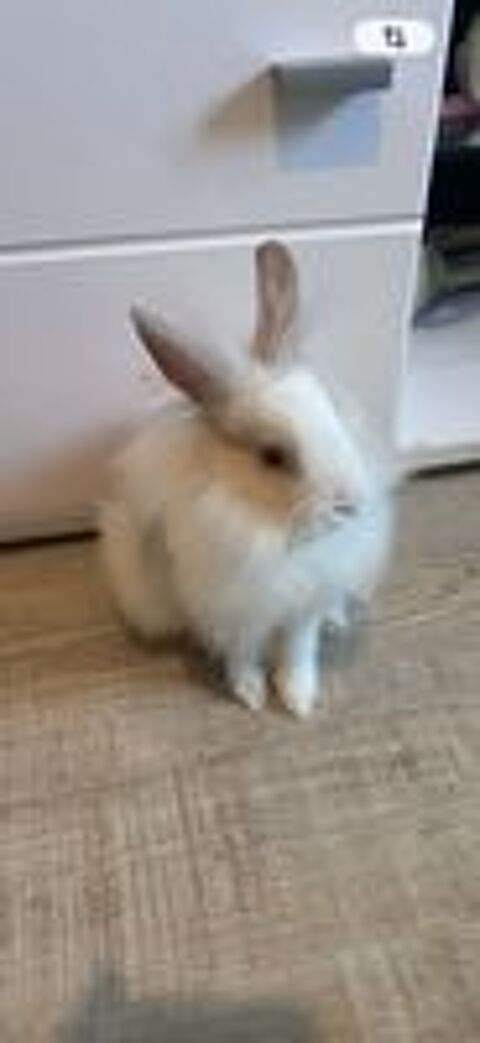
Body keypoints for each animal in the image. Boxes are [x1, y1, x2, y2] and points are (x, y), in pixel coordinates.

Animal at [99, 241, 394, 717]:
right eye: (272, 456)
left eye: (333, 414)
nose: (350, 504)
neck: (273, 533)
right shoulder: (234, 608)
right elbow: (242, 653)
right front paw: (251, 694)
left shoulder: (303, 604)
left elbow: (297, 651)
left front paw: (297, 698)